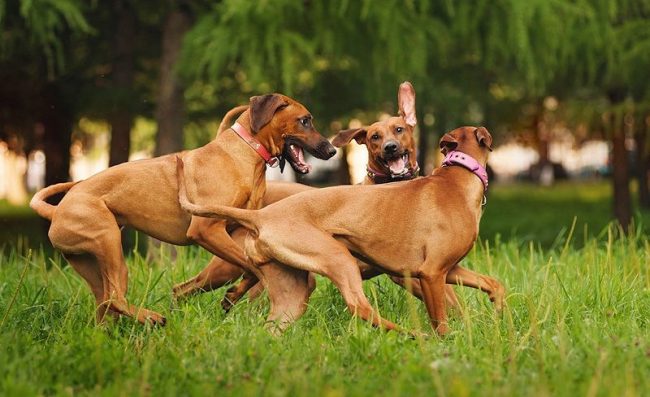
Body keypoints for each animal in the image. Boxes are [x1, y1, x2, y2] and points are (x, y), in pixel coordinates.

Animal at [29, 93, 334, 324]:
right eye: (305, 120)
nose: (331, 151)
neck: (245, 152)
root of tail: (57, 210)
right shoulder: (206, 230)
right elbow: (250, 266)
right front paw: (237, 293)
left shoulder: (239, 230)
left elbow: (250, 267)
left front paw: (234, 295)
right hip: (108, 242)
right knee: (116, 296)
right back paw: (153, 318)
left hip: (91, 262)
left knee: (107, 302)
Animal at [176, 125, 502, 336]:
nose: (391, 148)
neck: (457, 178)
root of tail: (260, 215)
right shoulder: (431, 274)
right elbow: (442, 319)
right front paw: (444, 343)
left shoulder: (449, 270)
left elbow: (492, 283)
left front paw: (498, 312)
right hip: (338, 260)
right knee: (360, 307)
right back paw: (409, 333)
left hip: (292, 291)